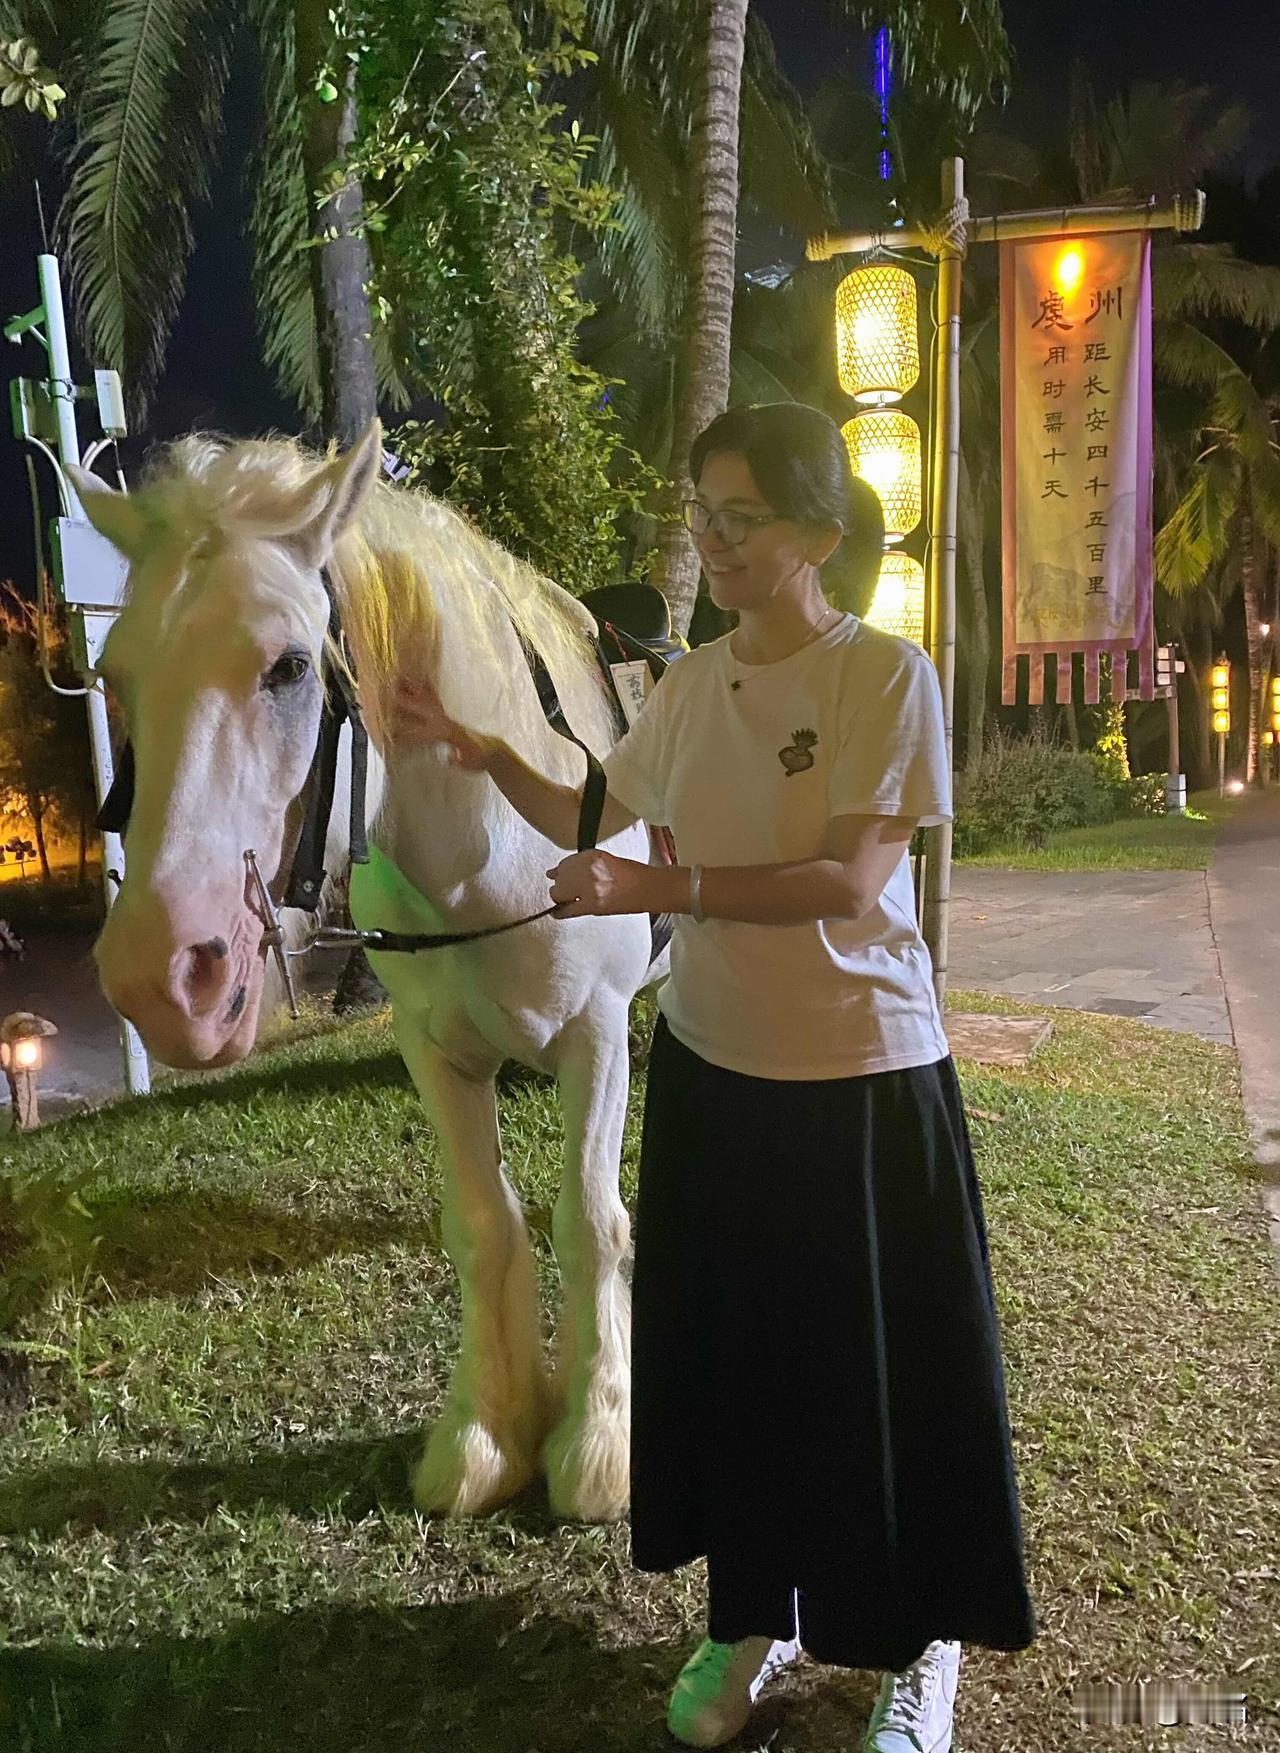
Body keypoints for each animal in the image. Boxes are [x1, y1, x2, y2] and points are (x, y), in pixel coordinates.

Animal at [70, 420, 666, 1523]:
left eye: (291, 665)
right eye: (115, 676)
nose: (162, 978)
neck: (498, 854)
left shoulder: (596, 1035)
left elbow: (591, 1223)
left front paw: (599, 1440)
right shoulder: (435, 1052)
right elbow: (484, 1224)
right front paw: (485, 1434)